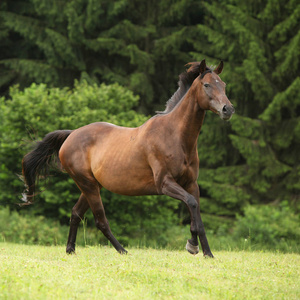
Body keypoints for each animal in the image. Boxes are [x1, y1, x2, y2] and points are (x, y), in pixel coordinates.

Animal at [22, 59, 236, 256]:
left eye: (224, 84)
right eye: (206, 84)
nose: (228, 109)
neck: (175, 136)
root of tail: (72, 134)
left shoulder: (191, 184)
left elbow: (196, 214)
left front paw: (204, 251)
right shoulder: (165, 184)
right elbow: (191, 204)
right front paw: (194, 246)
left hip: (92, 185)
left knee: (76, 213)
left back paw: (70, 250)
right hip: (88, 185)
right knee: (100, 220)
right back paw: (122, 250)